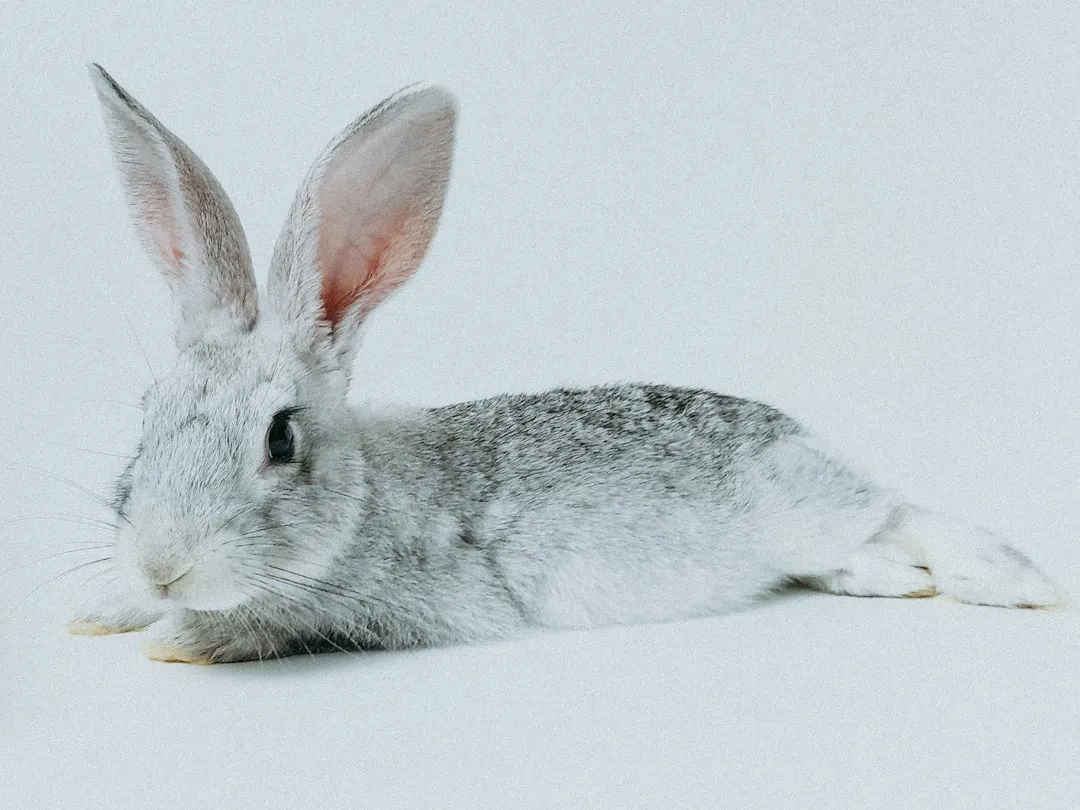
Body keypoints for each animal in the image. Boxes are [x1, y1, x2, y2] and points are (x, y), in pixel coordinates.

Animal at [68, 64, 1060, 664]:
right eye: (145, 419)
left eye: (281, 438)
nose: (163, 565)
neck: (365, 502)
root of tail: (804, 440)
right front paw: (104, 610)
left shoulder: (365, 605)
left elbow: (250, 625)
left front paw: (170, 634)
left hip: (811, 507)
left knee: (904, 515)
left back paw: (1008, 585)